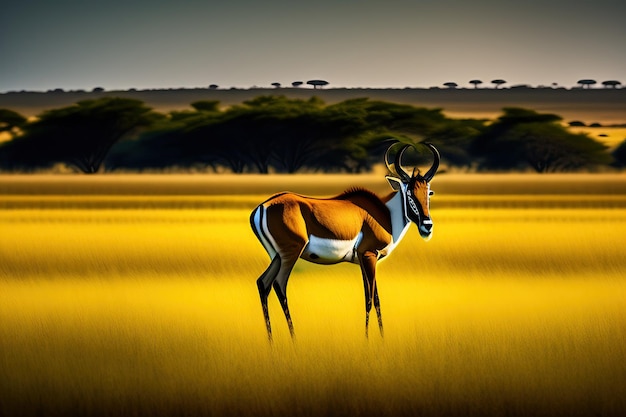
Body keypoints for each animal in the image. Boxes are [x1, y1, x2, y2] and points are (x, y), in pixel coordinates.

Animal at [249, 142, 438, 338]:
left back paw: (271, 340)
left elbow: (373, 298)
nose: (427, 226)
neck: (386, 214)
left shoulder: (365, 260)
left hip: (276, 256)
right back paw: (294, 338)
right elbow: (371, 299)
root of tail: (262, 206)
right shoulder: (369, 255)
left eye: (428, 192)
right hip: (290, 253)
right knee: (279, 284)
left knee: (263, 283)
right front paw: (371, 338)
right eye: (409, 193)